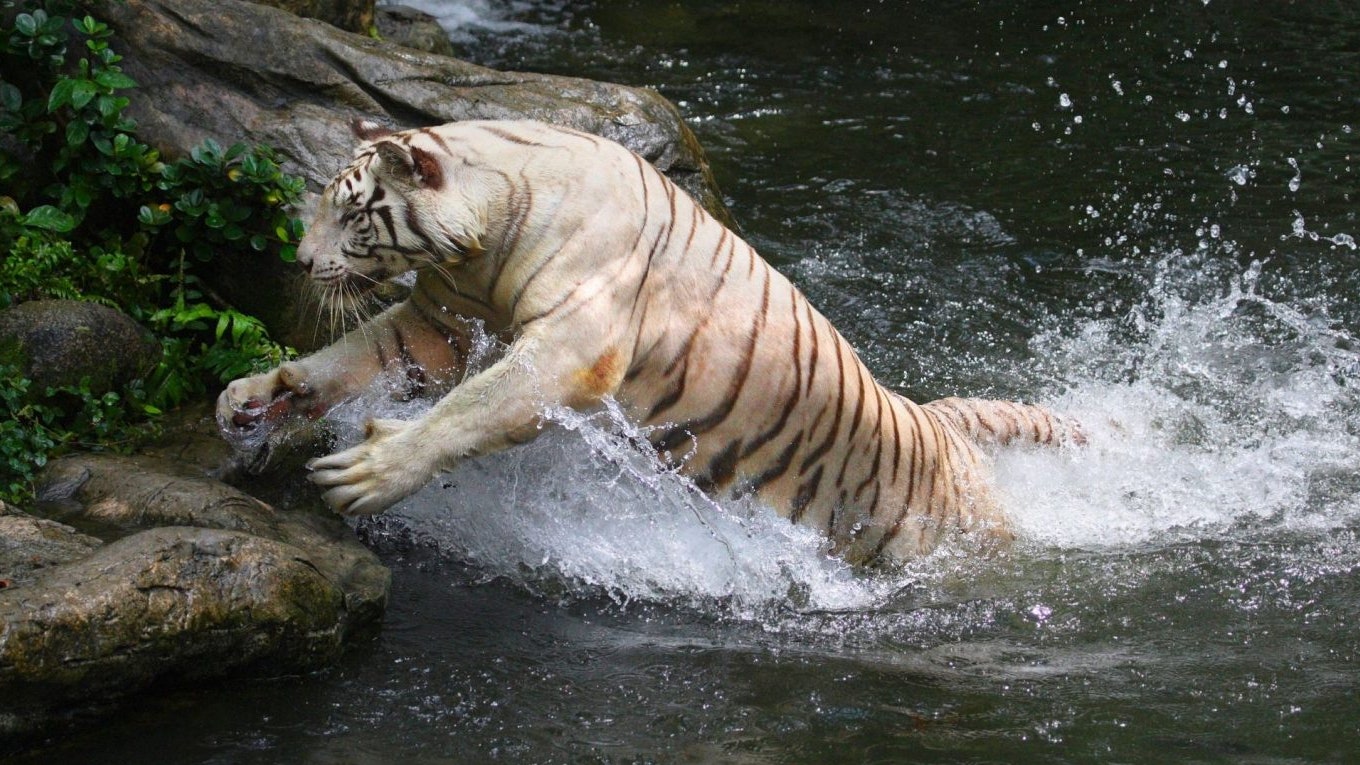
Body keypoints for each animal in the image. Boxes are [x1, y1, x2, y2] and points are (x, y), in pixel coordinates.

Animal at [216, 118, 1084, 566]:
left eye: (351, 211)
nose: (302, 261)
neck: (483, 242)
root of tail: (936, 420)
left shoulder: (572, 350)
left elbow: (467, 411)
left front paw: (365, 473)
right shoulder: (439, 318)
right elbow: (353, 356)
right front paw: (256, 397)